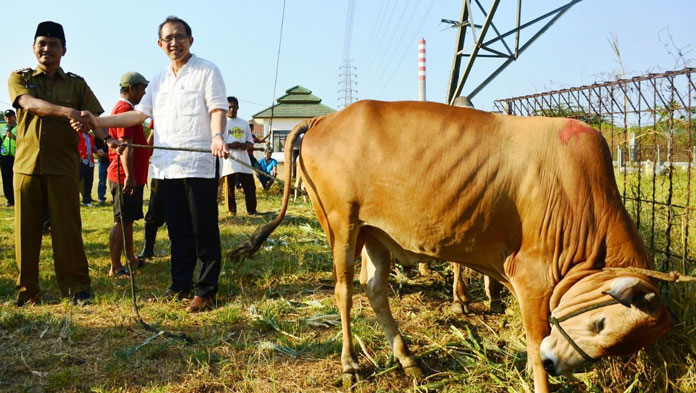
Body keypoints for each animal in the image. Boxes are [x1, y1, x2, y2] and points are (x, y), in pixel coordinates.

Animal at [231, 101, 672, 392]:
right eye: (600, 323)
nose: (557, 361)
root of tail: (324, 118)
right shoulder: (533, 278)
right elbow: (534, 346)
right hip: (343, 225)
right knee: (343, 292)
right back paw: (351, 364)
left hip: (375, 233)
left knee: (375, 290)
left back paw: (407, 358)